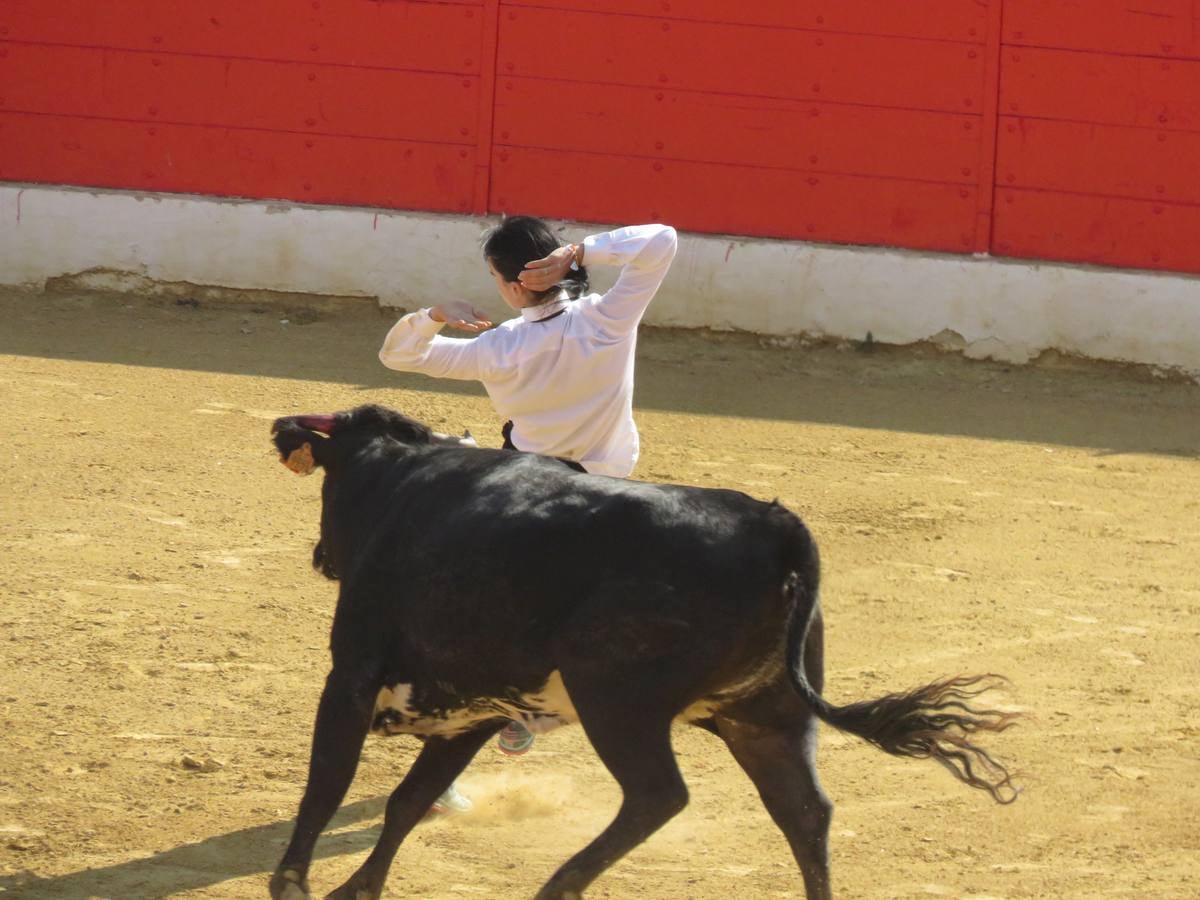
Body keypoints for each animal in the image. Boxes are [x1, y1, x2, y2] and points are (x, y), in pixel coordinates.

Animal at [267, 408, 1017, 900]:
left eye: (327, 483)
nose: (321, 555)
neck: (401, 482)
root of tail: (773, 525)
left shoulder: (352, 676)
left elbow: (328, 780)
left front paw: (292, 883)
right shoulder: (475, 710)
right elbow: (407, 802)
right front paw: (352, 892)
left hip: (615, 700)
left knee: (660, 794)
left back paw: (560, 886)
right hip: (767, 716)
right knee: (805, 812)